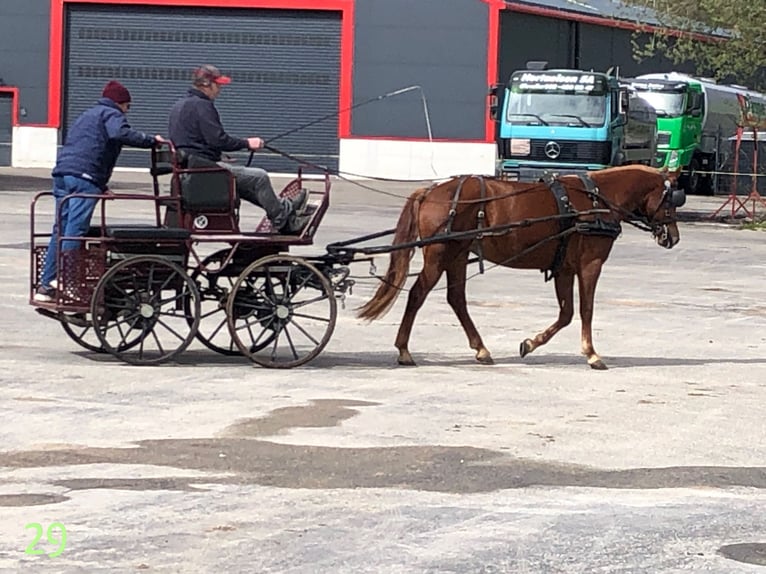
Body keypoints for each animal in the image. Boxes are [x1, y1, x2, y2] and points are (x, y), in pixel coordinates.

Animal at [356, 166, 688, 372]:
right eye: (672, 199)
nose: (672, 237)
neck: (597, 200)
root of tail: (431, 191)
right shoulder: (590, 264)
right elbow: (586, 310)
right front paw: (592, 354)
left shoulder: (564, 268)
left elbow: (566, 314)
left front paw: (530, 343)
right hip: (439, 254)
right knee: (417, 295)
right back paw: (404, 350)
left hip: (458, 254)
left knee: (456, 299)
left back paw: (481, 349)